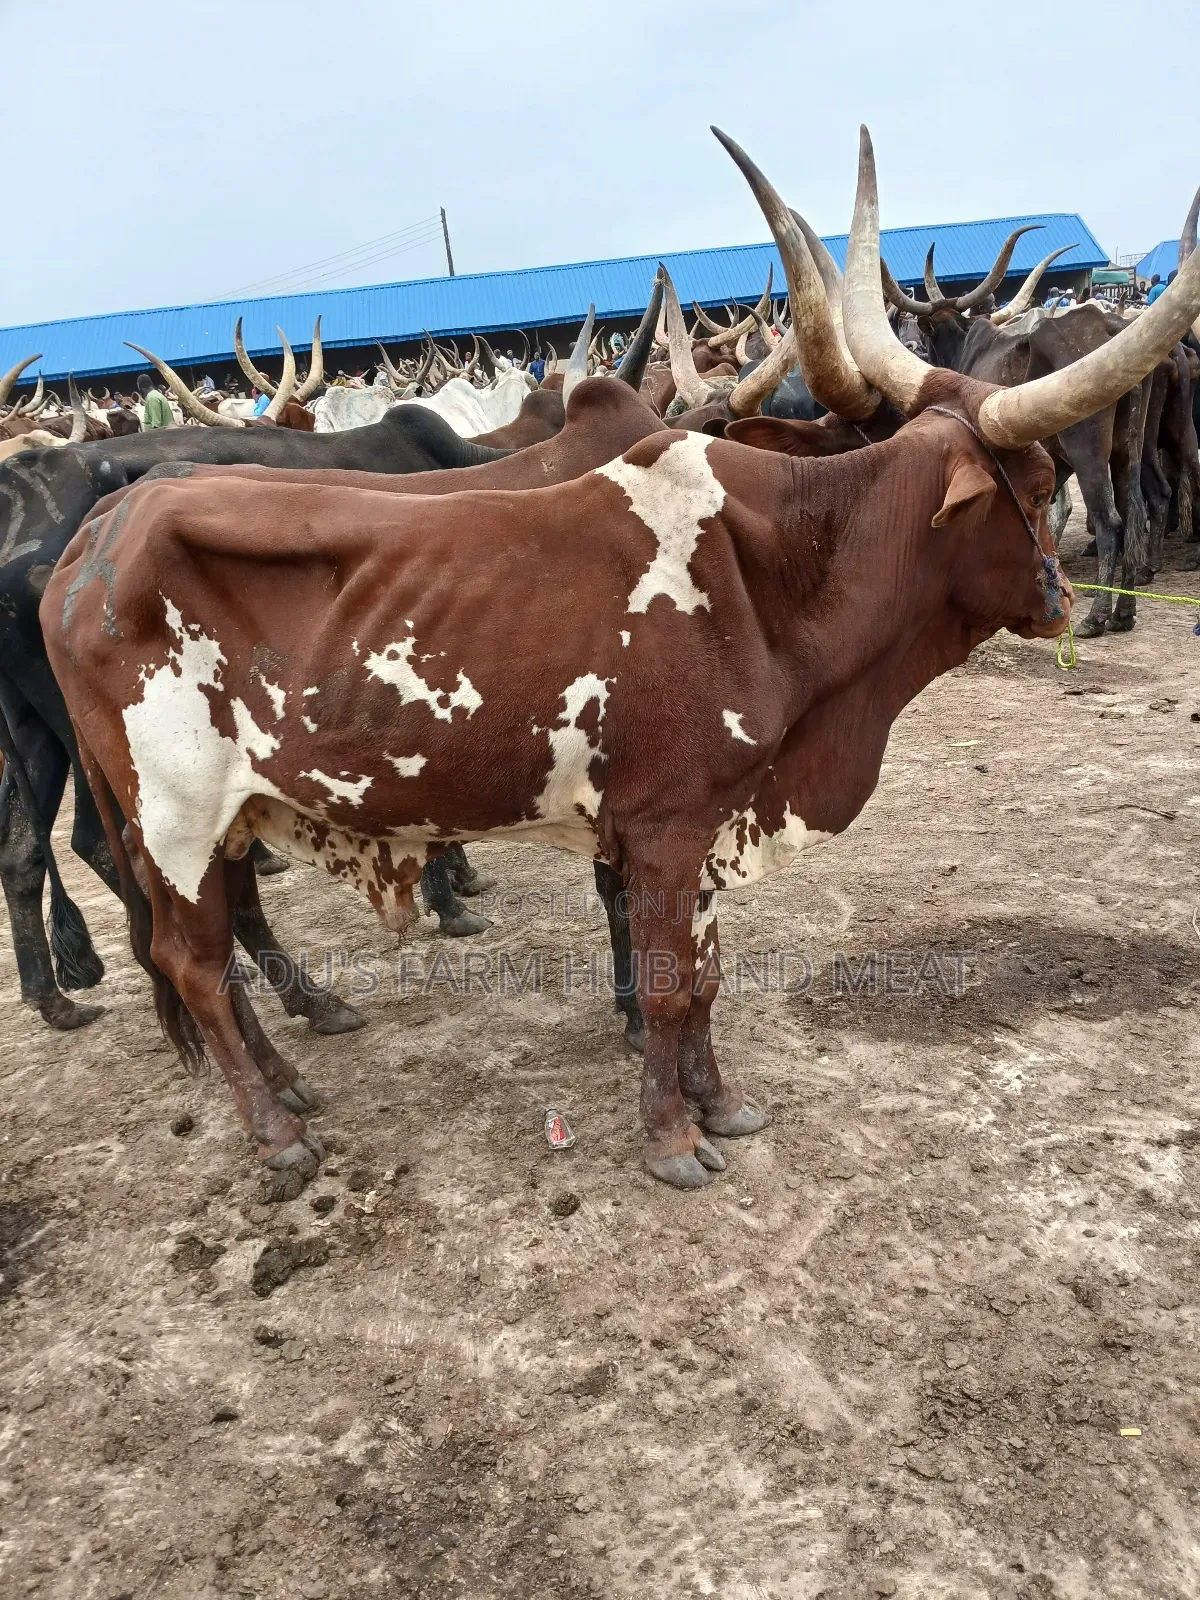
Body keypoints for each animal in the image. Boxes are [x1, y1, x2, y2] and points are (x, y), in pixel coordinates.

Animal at [48, 128, 1199, 1197]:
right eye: (1039, 480)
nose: (1063, 600)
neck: (773, 572)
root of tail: (97, 532)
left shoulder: (711, 818)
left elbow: (706, 976)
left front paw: (719, 1102)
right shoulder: (662, 824)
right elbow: (664, 981)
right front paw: (671, 1139)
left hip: (217, 820)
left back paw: (287, 1083)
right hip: (178, 818)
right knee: (193, 961)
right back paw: (276, 1134)